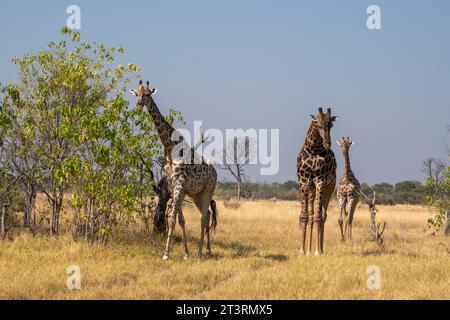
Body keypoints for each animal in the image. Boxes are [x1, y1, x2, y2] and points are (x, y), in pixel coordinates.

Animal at [130, 80, 218, 260]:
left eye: (147, 94)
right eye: (137, 94)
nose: (139, 105)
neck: (169, 147)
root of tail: (215, 172)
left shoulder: (179, 184)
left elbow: (171, 219)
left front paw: (166, 254)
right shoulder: (172, 185)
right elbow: (180, 220)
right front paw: (185, 253)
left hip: (208, 190)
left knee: (204, 218)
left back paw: (200, 253)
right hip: (196, 194)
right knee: (206, 215)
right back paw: (205, 250)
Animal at [298, 107, 336, 255]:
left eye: (330, 125)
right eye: (318, 125)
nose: (327, 144)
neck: (313, 150)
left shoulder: (320, 182)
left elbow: (318, 216)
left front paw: (317, 251)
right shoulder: (304, 182)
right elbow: (305, 216)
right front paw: (302, 251)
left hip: (330, 187)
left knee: (323, 215)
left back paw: (321, 248)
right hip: (311, 189)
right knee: (312, 214)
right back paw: (309, 250)